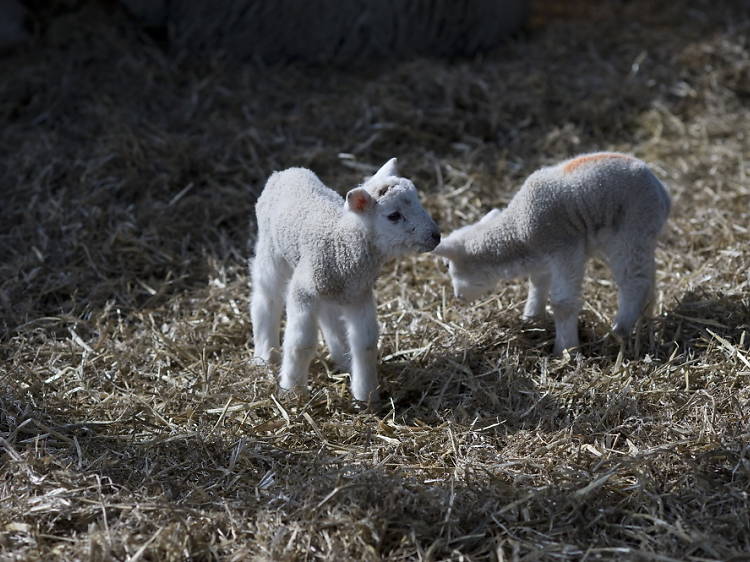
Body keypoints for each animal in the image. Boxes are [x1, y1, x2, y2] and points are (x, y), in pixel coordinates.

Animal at [251, 158, 440, 402]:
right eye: (394, 216)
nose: (436, 236)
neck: (342, 244)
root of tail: (286, 171)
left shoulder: (359, 294)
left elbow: (365, 344)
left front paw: (366, 395)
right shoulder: (303, 290)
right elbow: (301, 343)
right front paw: (293, 391)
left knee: (328, 315)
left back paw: (343, 358)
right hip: (270, 249)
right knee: (267, 297)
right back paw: (265, 355)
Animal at [434, 152, 676, 354]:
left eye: (447, 265)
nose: (458, 297)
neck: (517, 230)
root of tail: (662, 191)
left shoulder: (564, 248)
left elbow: (563, 303)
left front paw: (565, 350)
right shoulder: (543, 257)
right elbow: (538, 284)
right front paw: (531, 318)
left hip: (632, 229)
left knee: (635, 281)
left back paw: (620, 329)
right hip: (644, 236)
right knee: (649, 278)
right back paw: (646, 321)